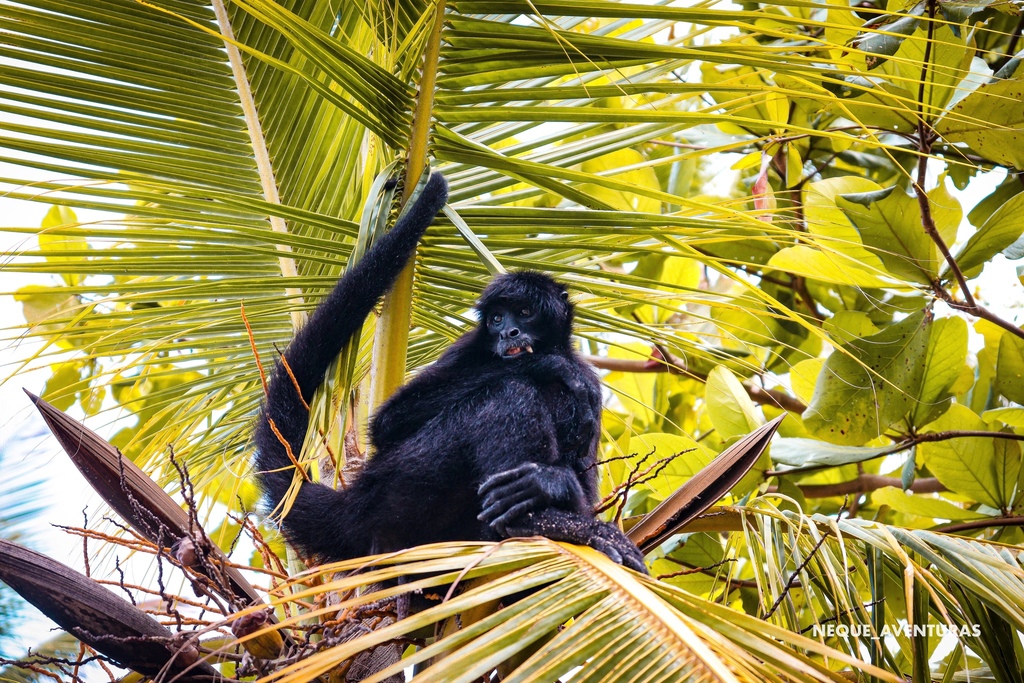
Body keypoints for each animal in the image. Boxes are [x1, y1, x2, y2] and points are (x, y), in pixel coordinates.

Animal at [252, 169, 643, 573]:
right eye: (497, 318)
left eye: (524, 313)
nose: (509, 332)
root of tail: (356, 501)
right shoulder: (470, 347)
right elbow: (389, 424)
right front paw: (548, 365)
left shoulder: (591, 384)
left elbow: (584, 482)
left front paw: (548, 481)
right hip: (404, 478)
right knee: (510, 392)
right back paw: (534, 522)